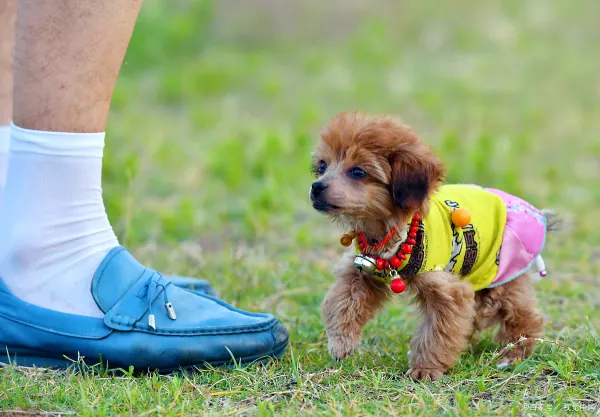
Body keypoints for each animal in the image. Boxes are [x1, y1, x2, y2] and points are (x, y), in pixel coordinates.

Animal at [312, 111, 556, 380]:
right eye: (322, 166)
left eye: (358, 172)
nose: (316, 187)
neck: (391, 235)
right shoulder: (361, 272)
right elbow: (341, 304)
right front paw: (341, 343)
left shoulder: (447, 291)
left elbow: (437, 332)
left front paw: (425, 369)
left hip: (501, 278)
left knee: (524, 316)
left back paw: (514, 354)